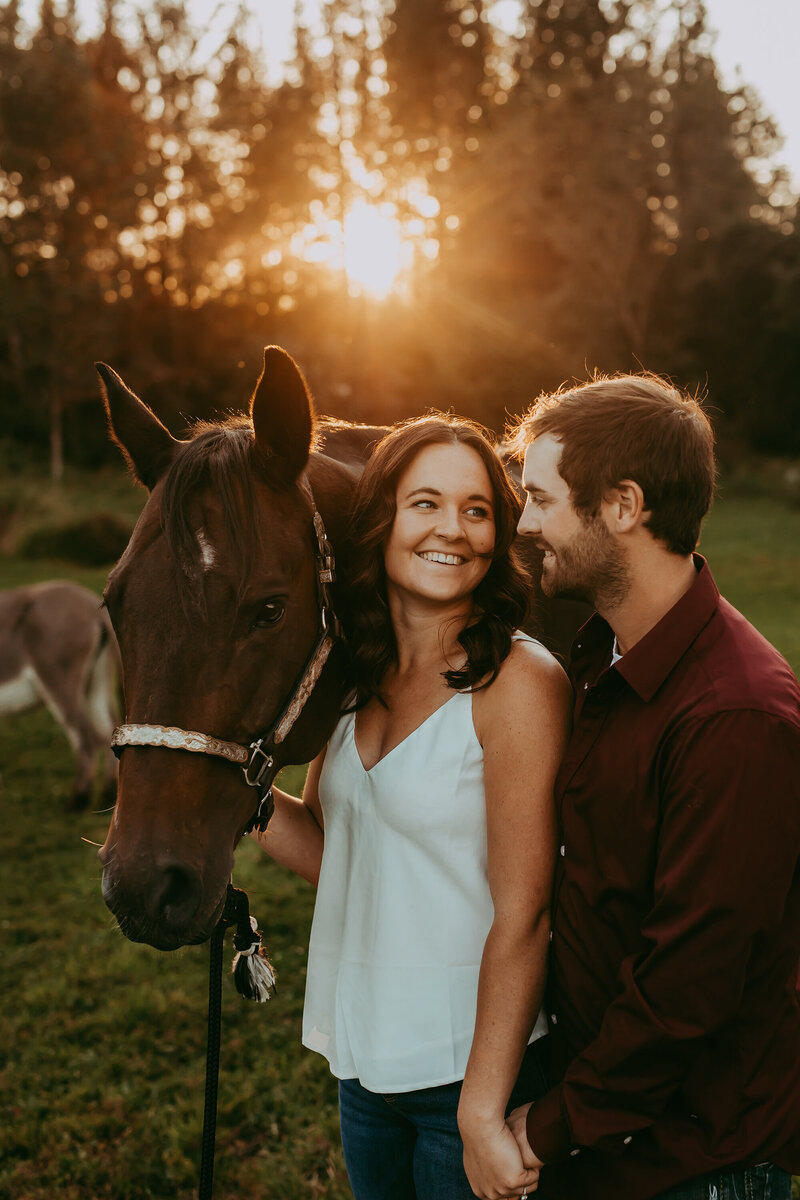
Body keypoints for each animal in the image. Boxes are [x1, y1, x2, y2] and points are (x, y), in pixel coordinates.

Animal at [0, 578, 118, 806]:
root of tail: (92, 606)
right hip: (96, 683)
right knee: (107, 729)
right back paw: (107, 796)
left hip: (57, 680)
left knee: (85, 736)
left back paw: (78, 802)